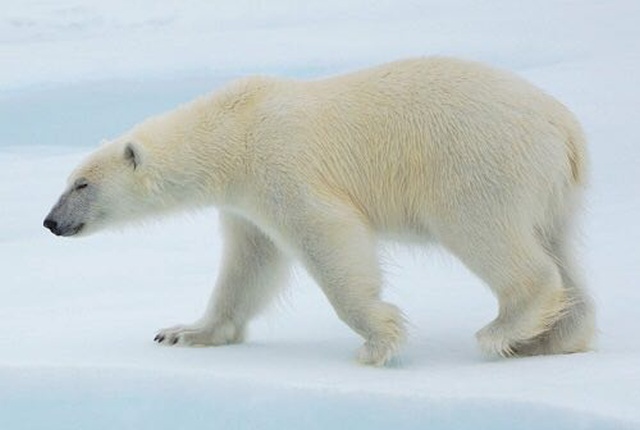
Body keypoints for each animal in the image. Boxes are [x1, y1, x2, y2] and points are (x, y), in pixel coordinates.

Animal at [43, 57, 596, 366]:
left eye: (81, 183)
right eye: (67, 181)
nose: (50, 222)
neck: (232, 130)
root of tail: (565, 128)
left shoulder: (280, 164)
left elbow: (326, 235)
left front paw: (378, 340)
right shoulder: (245, 202)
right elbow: (249, 263)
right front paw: (183, 332)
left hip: (478, 164)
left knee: (489, 236)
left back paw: (503, 330)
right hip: (552, 191)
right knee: (560, 248)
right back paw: (553, 338)